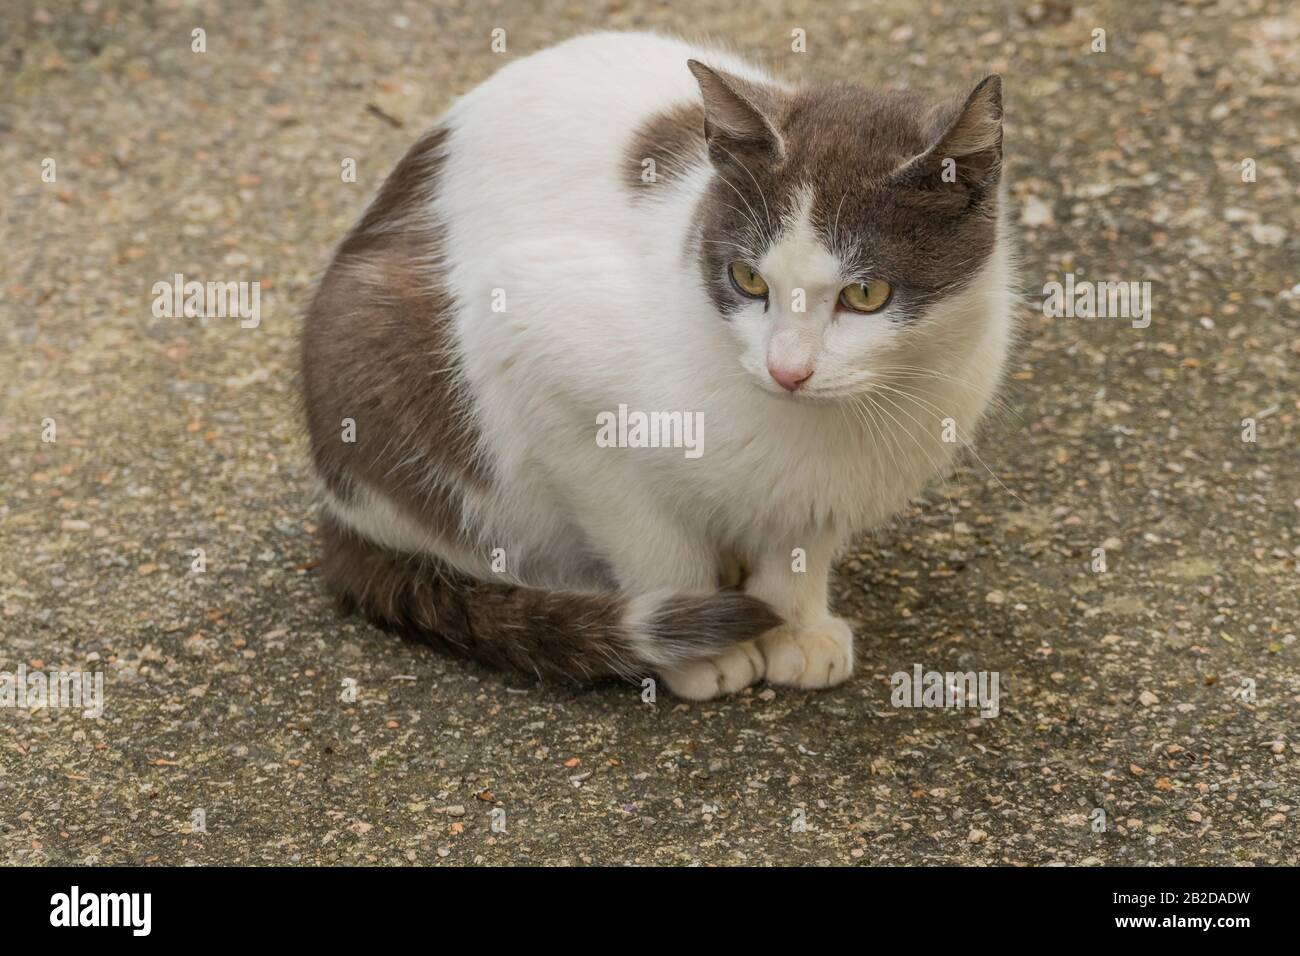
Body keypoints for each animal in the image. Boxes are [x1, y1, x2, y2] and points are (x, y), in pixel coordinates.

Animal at [304, 31, 1013, 702]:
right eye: (747, 278)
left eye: (866, 294)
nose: (787, 371)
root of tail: (339, 517)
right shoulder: (534, 349)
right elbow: (651, 539)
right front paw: (707, 650)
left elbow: (800, 539)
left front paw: (796, 626)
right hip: (372, 341)